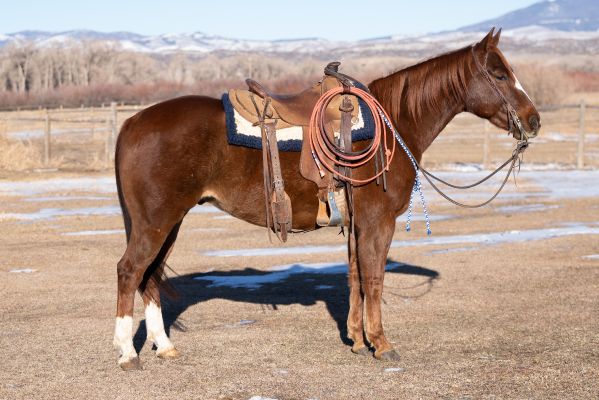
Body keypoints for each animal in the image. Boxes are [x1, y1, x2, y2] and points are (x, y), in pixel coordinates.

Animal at [111, 28, 540, 370]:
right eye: (499, 74)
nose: (534, 120)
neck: (392, 124)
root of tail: (133, 121)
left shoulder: (356, 223)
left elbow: (355, 276)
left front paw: (357, 339)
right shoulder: (379, 220)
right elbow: (374, 278)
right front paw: (381, 343)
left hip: (170, 222)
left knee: (150, 276)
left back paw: (164, 346)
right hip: (156, 221)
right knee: (130, 271)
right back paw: (128, 353)